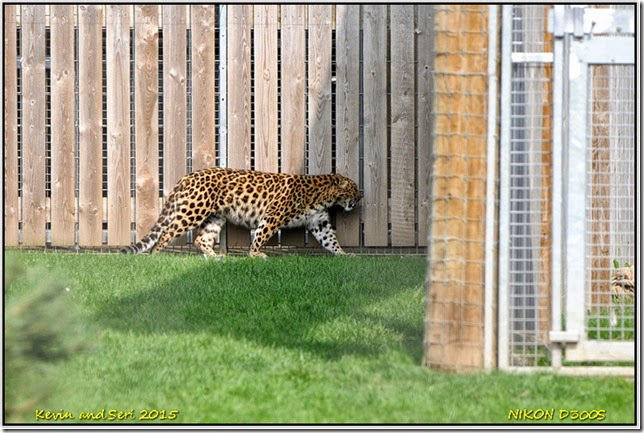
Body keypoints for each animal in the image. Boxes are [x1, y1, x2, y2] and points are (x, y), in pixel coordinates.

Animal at [122, 168, 362, 256]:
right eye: (354, 188)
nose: (361, 197)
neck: (323, 197)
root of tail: (188, 175)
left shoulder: (319, 223)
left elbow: (330, 240)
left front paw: (344, 255)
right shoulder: (272, 216)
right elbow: (261, 235)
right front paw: (255, 254)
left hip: (215, 217)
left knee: (201, 239)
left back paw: (215, 258)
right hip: (194, 210)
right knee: (166, 233)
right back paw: (155, 256)